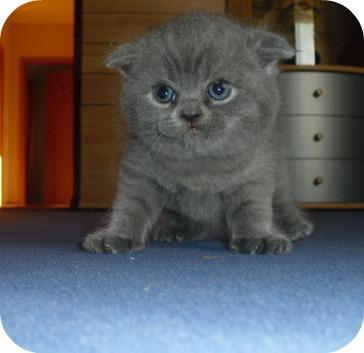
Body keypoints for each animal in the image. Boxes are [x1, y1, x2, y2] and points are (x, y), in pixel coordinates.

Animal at [82, 11, 312, 253]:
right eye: (163, 93)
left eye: (219, 89)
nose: (190, 114)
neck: (198, 167)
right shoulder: (138, 169)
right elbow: (130, 205)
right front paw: (116, 235)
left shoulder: (256, 171)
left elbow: (253, 206)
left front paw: (259, 236)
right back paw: (172, 230)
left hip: (278, 165)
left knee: (282, 196)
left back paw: (293, 225)